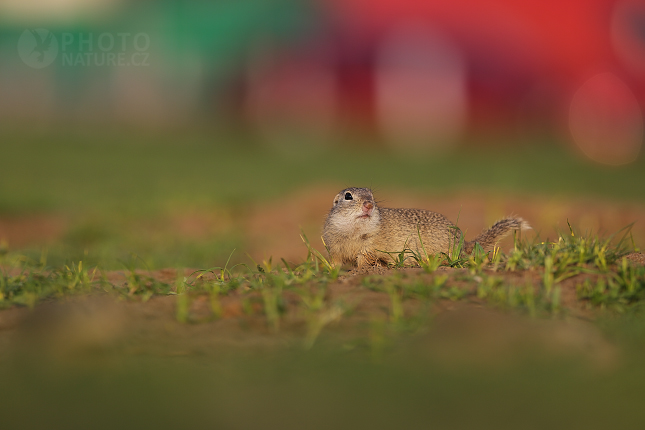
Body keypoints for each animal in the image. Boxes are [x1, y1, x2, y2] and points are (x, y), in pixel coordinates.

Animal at [322, 187, 528, 268]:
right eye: (348, 196)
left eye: (371, 195)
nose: (369, 205)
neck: (353, 231)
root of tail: (463, 244)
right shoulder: (334, 247)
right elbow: (336, 262)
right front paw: (333, 270)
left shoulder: (370, 247)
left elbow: (365, 260)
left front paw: (362, 271)